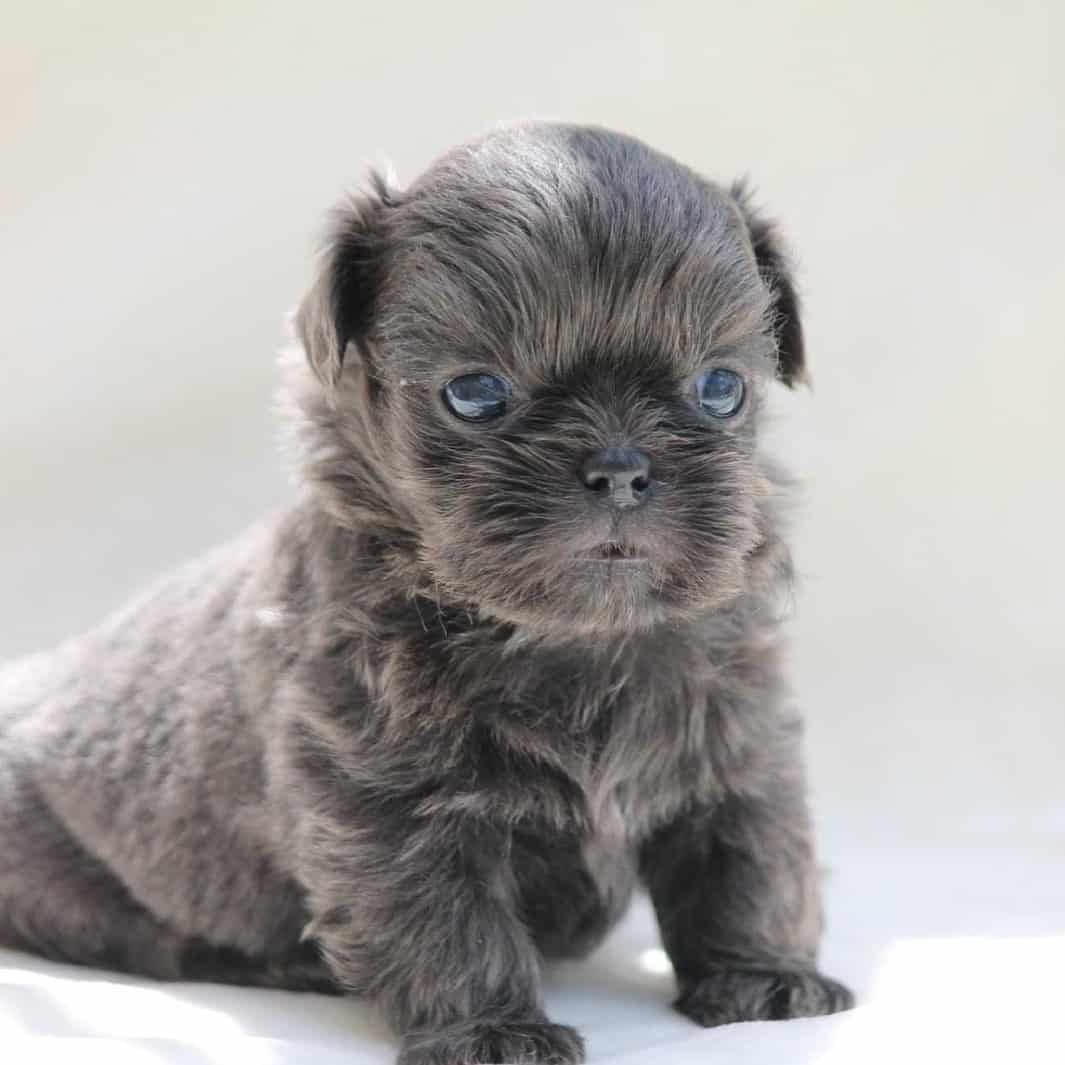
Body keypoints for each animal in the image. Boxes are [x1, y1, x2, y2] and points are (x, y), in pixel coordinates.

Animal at [0, 122, 847, 1056]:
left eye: (720, 387)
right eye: (474, 393)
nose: (621, 467)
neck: (573, 639)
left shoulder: (738, 750)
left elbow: (749, 864)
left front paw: (764, 977)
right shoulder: (392, 809)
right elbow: (449, 922)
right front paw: (494, 1027)